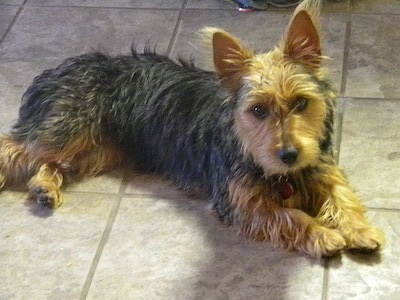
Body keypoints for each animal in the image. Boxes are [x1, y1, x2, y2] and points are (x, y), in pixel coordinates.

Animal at [0, 0, 384, 258]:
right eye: (258, 110)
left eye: (302, 103)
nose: (288, 154)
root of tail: (54, 69)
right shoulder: (239, 202)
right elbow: (289, 215)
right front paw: (322, 234)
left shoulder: (321, 166)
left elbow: (342, 194)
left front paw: (360, 229)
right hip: (66, 130)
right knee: (16, 145)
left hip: (97, 148)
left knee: (51, 161)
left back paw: (44, 186)